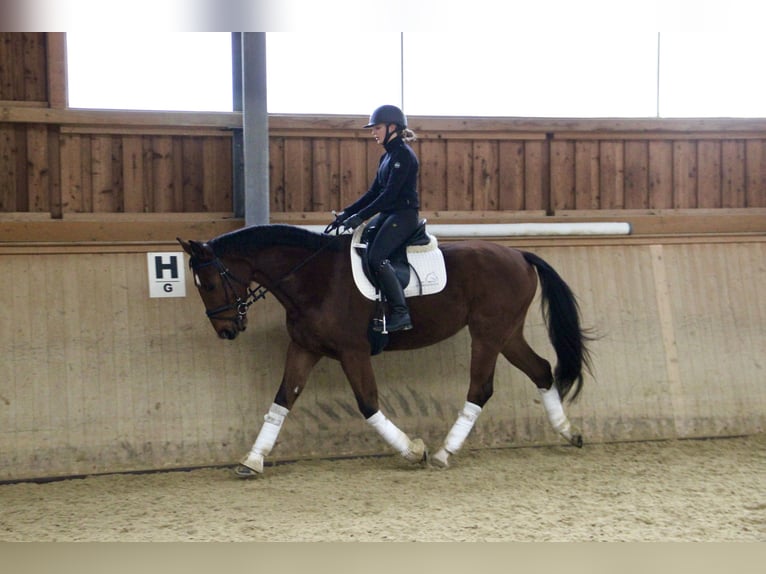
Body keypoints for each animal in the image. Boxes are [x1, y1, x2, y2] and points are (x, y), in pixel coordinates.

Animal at [180, 224, 592, 476]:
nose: (227, 331)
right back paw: (569, 433)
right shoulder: (304, 348)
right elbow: (282, 401)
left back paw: (443, 453)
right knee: (541, 369)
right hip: (507, 334)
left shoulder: (353, 352)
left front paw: (413, 450)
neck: (314, 278)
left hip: (488, 334)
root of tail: (520, 254)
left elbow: (367, 404)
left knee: (481, 388)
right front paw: (252, 460)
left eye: (210, 283)